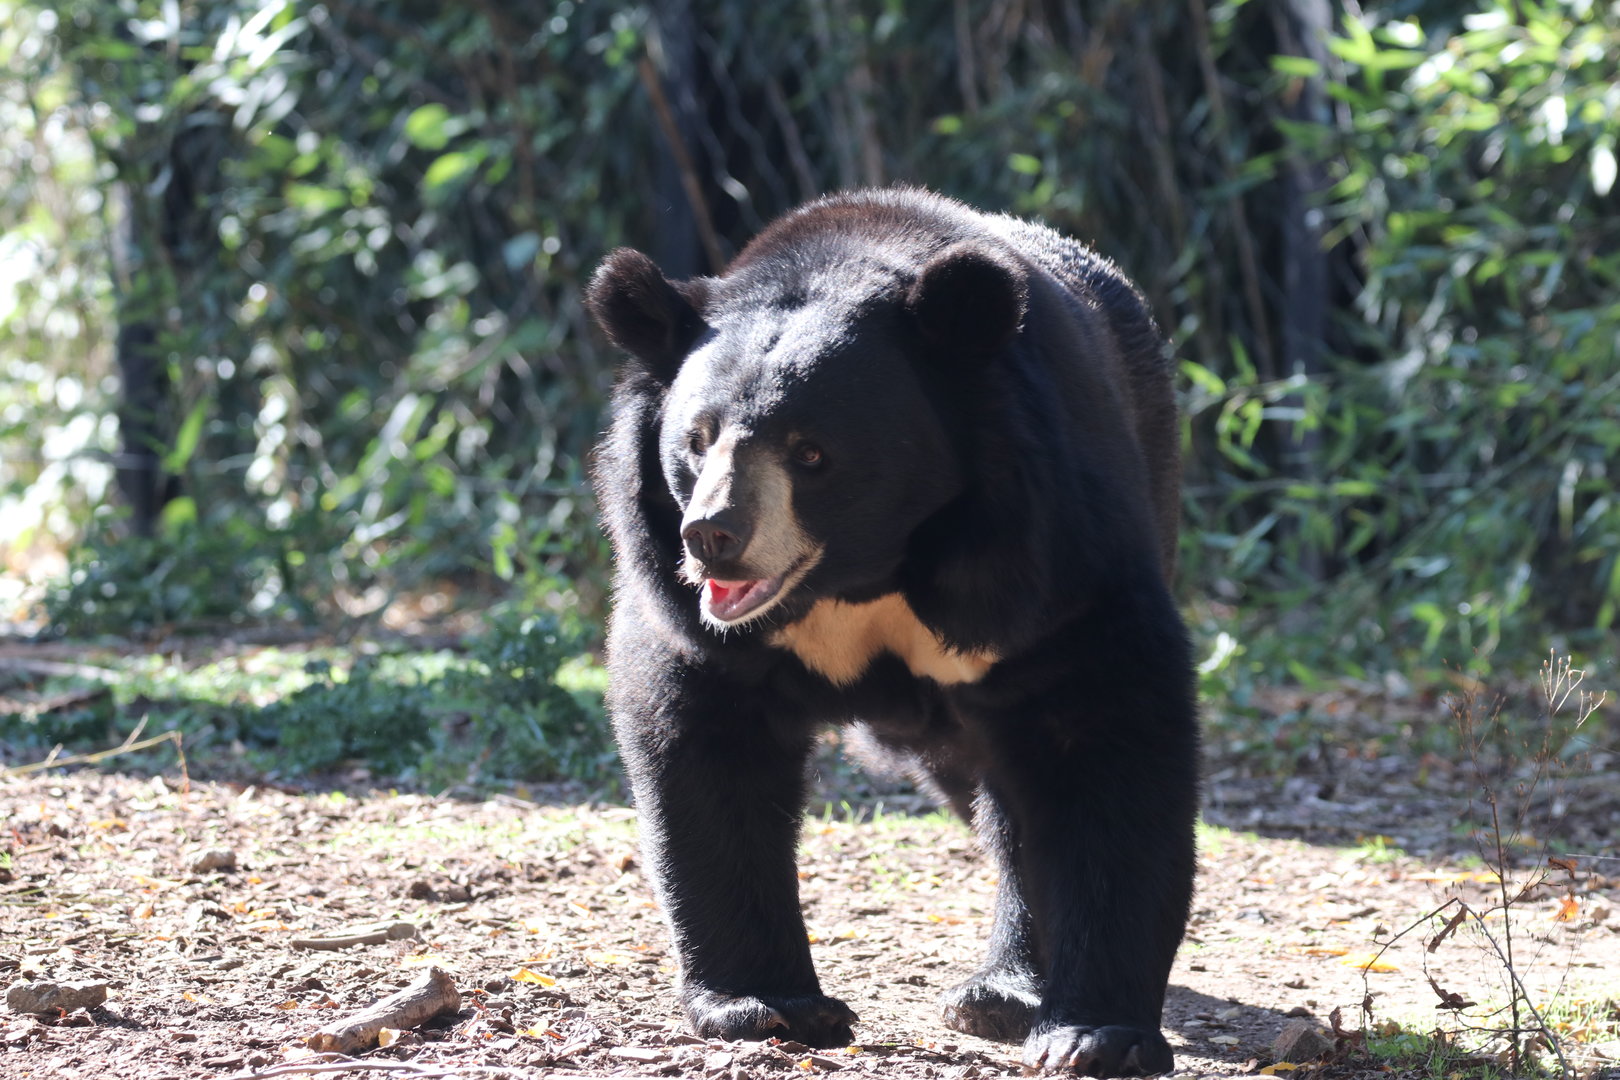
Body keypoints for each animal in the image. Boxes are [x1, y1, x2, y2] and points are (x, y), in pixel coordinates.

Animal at [586, 188, 1198, 1078]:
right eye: (696, 441)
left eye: (811, 453)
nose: (713, 537)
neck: (862, 572)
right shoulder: (686, 609)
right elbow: (707, 742)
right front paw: (768, 1006)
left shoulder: (1051, 550)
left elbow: (1105, 736)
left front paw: (1096, 1035)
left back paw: (1002, 994)